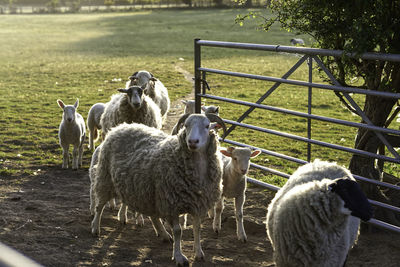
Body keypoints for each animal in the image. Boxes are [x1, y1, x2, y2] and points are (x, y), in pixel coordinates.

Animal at [92, 113, 227, 267]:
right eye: (186, 125)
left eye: (207, 126)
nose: (192, 141)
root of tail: (120, 127)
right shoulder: (171, 204)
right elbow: (178, 231)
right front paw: (179, 256)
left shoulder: (198, 204)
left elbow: (197, 228)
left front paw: (198, 253)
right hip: (106, 178)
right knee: (99, 206)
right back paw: (95, 228)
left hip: (147, 191)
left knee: (153, 215)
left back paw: (163, 234)